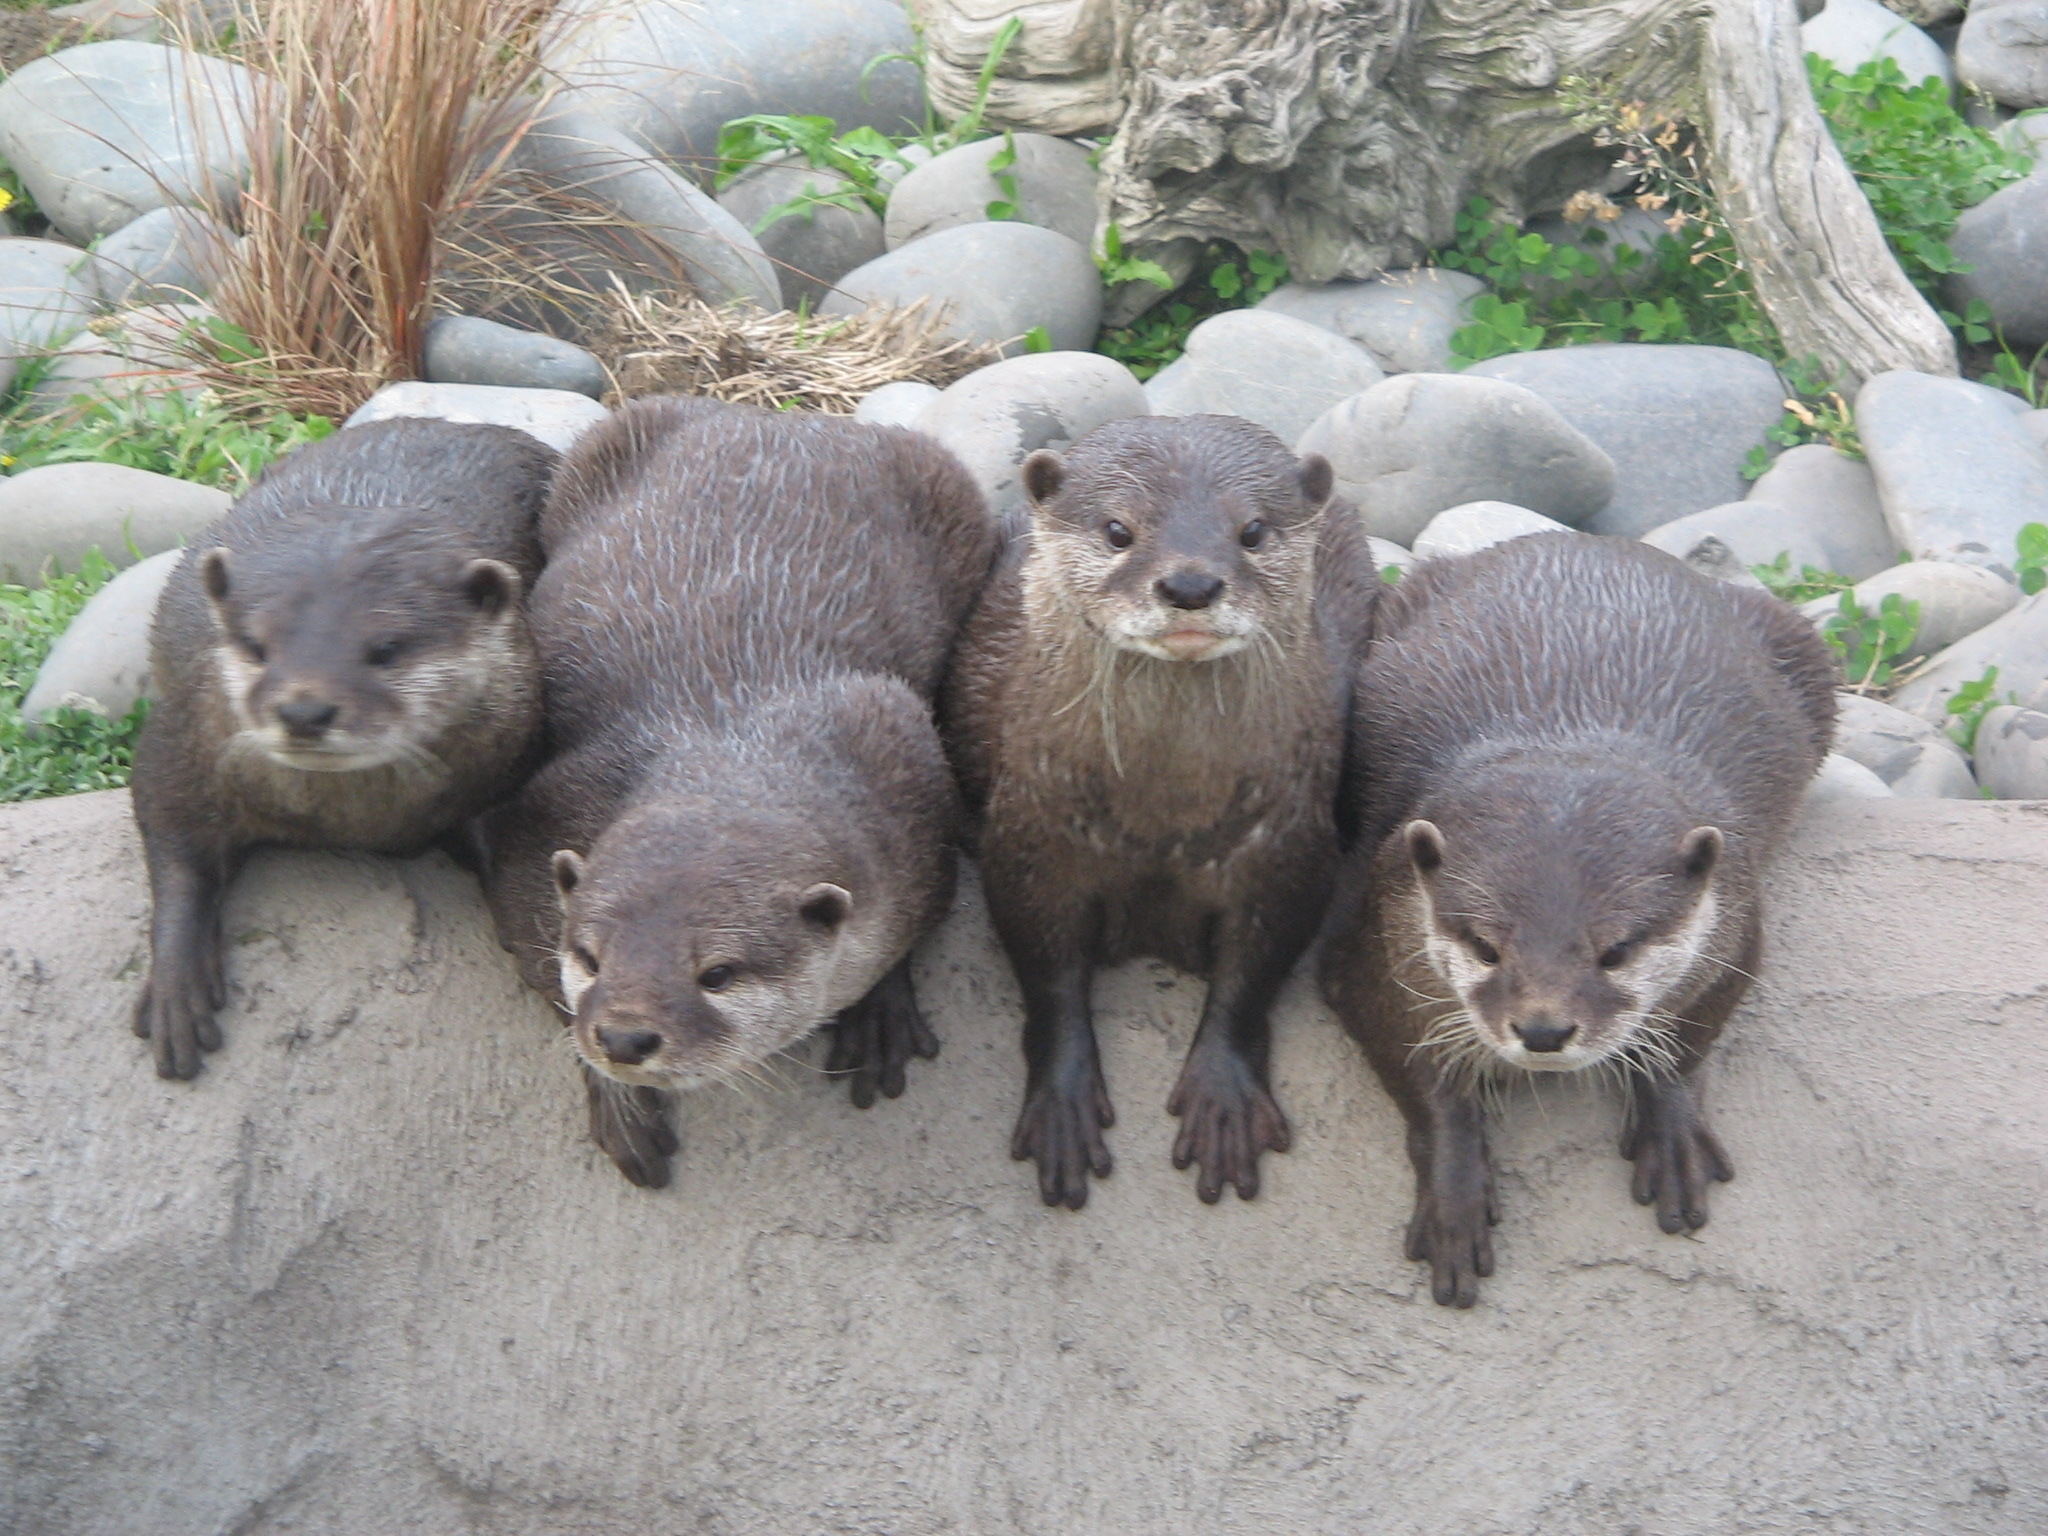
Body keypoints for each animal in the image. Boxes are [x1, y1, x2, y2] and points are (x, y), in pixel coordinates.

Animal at [130, 418, 558, 1079]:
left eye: (385, 649)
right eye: (256, 645)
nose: (304, 710)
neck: (353, 821)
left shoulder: (514, 758)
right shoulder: (181, 743)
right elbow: (173, 842)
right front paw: (177, 986)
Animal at [480, 395, 996, 1188]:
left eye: (717, 973)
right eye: (591, 956)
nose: (625, 1037)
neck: (733, 736)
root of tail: (781, 417)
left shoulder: (907, 786)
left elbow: (919, 915)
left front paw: (880, 1010)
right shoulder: (547, 812)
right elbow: (531, 943)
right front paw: (618, 1101)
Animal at [942, 414, 1381, 1209]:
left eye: (1253, 530)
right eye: (1118, 529)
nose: (1190, 583)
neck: (1160, 821)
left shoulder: (1287, 846)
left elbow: (1253, 970)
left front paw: (1224, 1097)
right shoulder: (1029, 835)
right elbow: (1047, 968)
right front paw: (1062, 1101)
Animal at [1318, 531, 1836, 1307]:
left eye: (1616, 950)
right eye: (1485, 946)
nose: (1542, 1030)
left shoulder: (1738, 926)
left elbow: (1691, 1038)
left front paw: (1671, 1129)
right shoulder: (1368, 931)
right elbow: (1416, 1069)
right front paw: (1454, 1191)